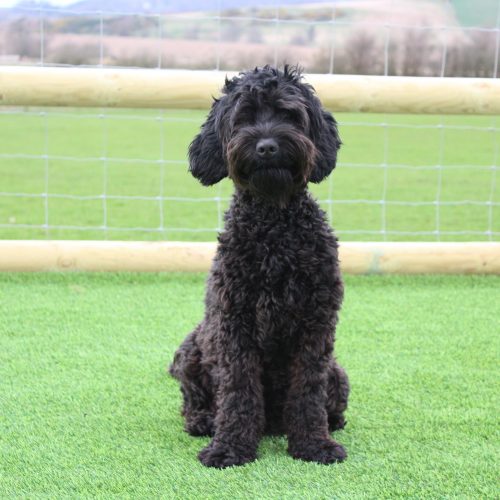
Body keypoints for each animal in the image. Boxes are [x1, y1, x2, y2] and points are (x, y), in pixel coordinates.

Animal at [170, 64, 350, 466]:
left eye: (289, 115)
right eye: (244, 118)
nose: (267, 146)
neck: (274, 231)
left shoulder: (316, 326)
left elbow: (308, 390)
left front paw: (314, 444)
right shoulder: (235, 323)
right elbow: (238, 388)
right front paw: (230, 447)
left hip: (338, 371)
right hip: (190, 349)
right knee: (193, 401)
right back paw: (204, 421)